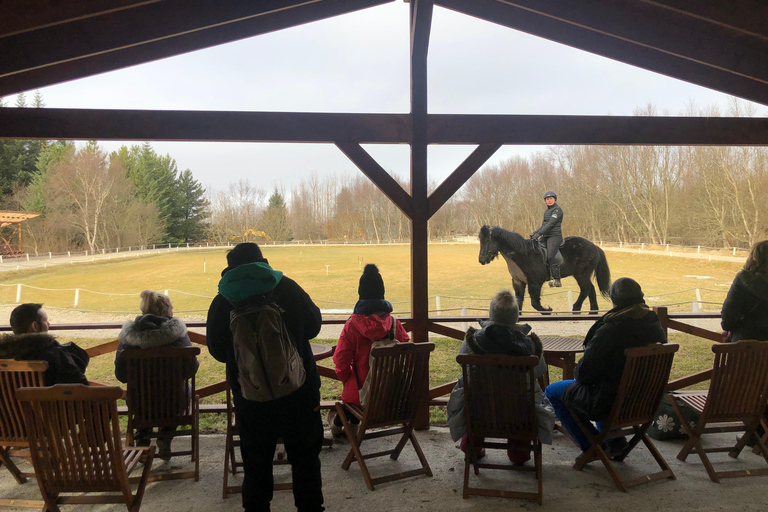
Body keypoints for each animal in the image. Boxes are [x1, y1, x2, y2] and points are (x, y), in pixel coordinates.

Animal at [476, 226, 608, 314]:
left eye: (487, 241)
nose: (481, 260)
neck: (523, 254)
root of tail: (594, 247)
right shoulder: (518, 282)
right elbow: (518, 301)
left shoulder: (535, 283)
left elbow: (535, 303)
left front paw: (548, 311)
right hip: (583, 275)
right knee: (591, 289)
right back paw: (593, 312)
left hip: (581, 274)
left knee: (586, 289)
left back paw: (576, 309)